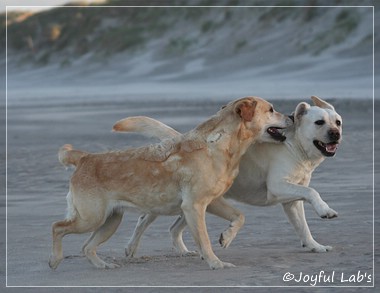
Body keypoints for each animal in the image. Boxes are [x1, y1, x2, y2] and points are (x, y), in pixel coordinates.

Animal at [114, 94, 342, 254]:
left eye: (338, 122)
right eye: (319, 122)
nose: (336, 134)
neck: (295, 146)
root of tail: (179, 139)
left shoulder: (292, 201)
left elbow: (303, 227)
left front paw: (315, 246)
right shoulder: (278, 187)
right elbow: (312, 192)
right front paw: (325, 210)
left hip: (196, 203)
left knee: (173, 228)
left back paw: (184, 251)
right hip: (166, 202)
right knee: (143, 220)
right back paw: (131, 248)